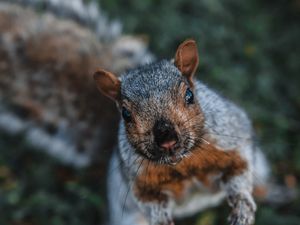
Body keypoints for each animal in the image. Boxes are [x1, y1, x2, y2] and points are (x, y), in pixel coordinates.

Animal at [94, 40, 270, 225]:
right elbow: (150, 202)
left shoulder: (232, 139)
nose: (167, 141)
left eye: (189, 95)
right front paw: (161, 220)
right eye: (125, 114)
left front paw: (242, 207)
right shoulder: (139, 180)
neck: (184, 162)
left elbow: (239, 172)